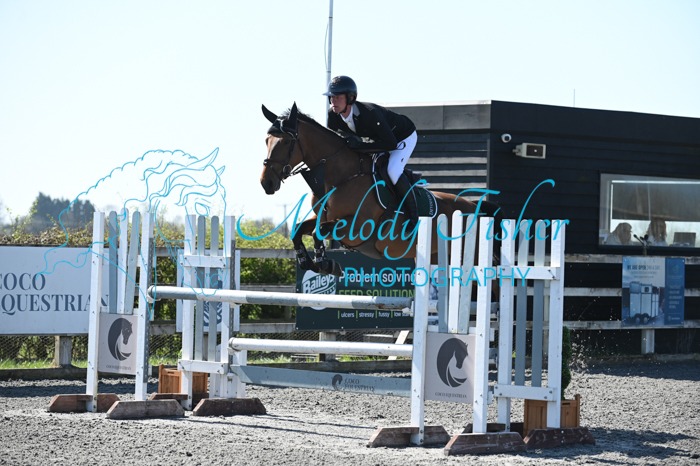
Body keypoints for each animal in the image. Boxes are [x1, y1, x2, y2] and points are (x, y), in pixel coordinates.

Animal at [260, 103, 499, 276]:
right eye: (266, 140)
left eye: (285, 142)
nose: (266, 183)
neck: (340, 177)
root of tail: (473, 206)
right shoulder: (323, 218)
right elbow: (299, 229)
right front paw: (309, 262)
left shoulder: (358, 227)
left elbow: (320, 231)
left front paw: (325, 264)